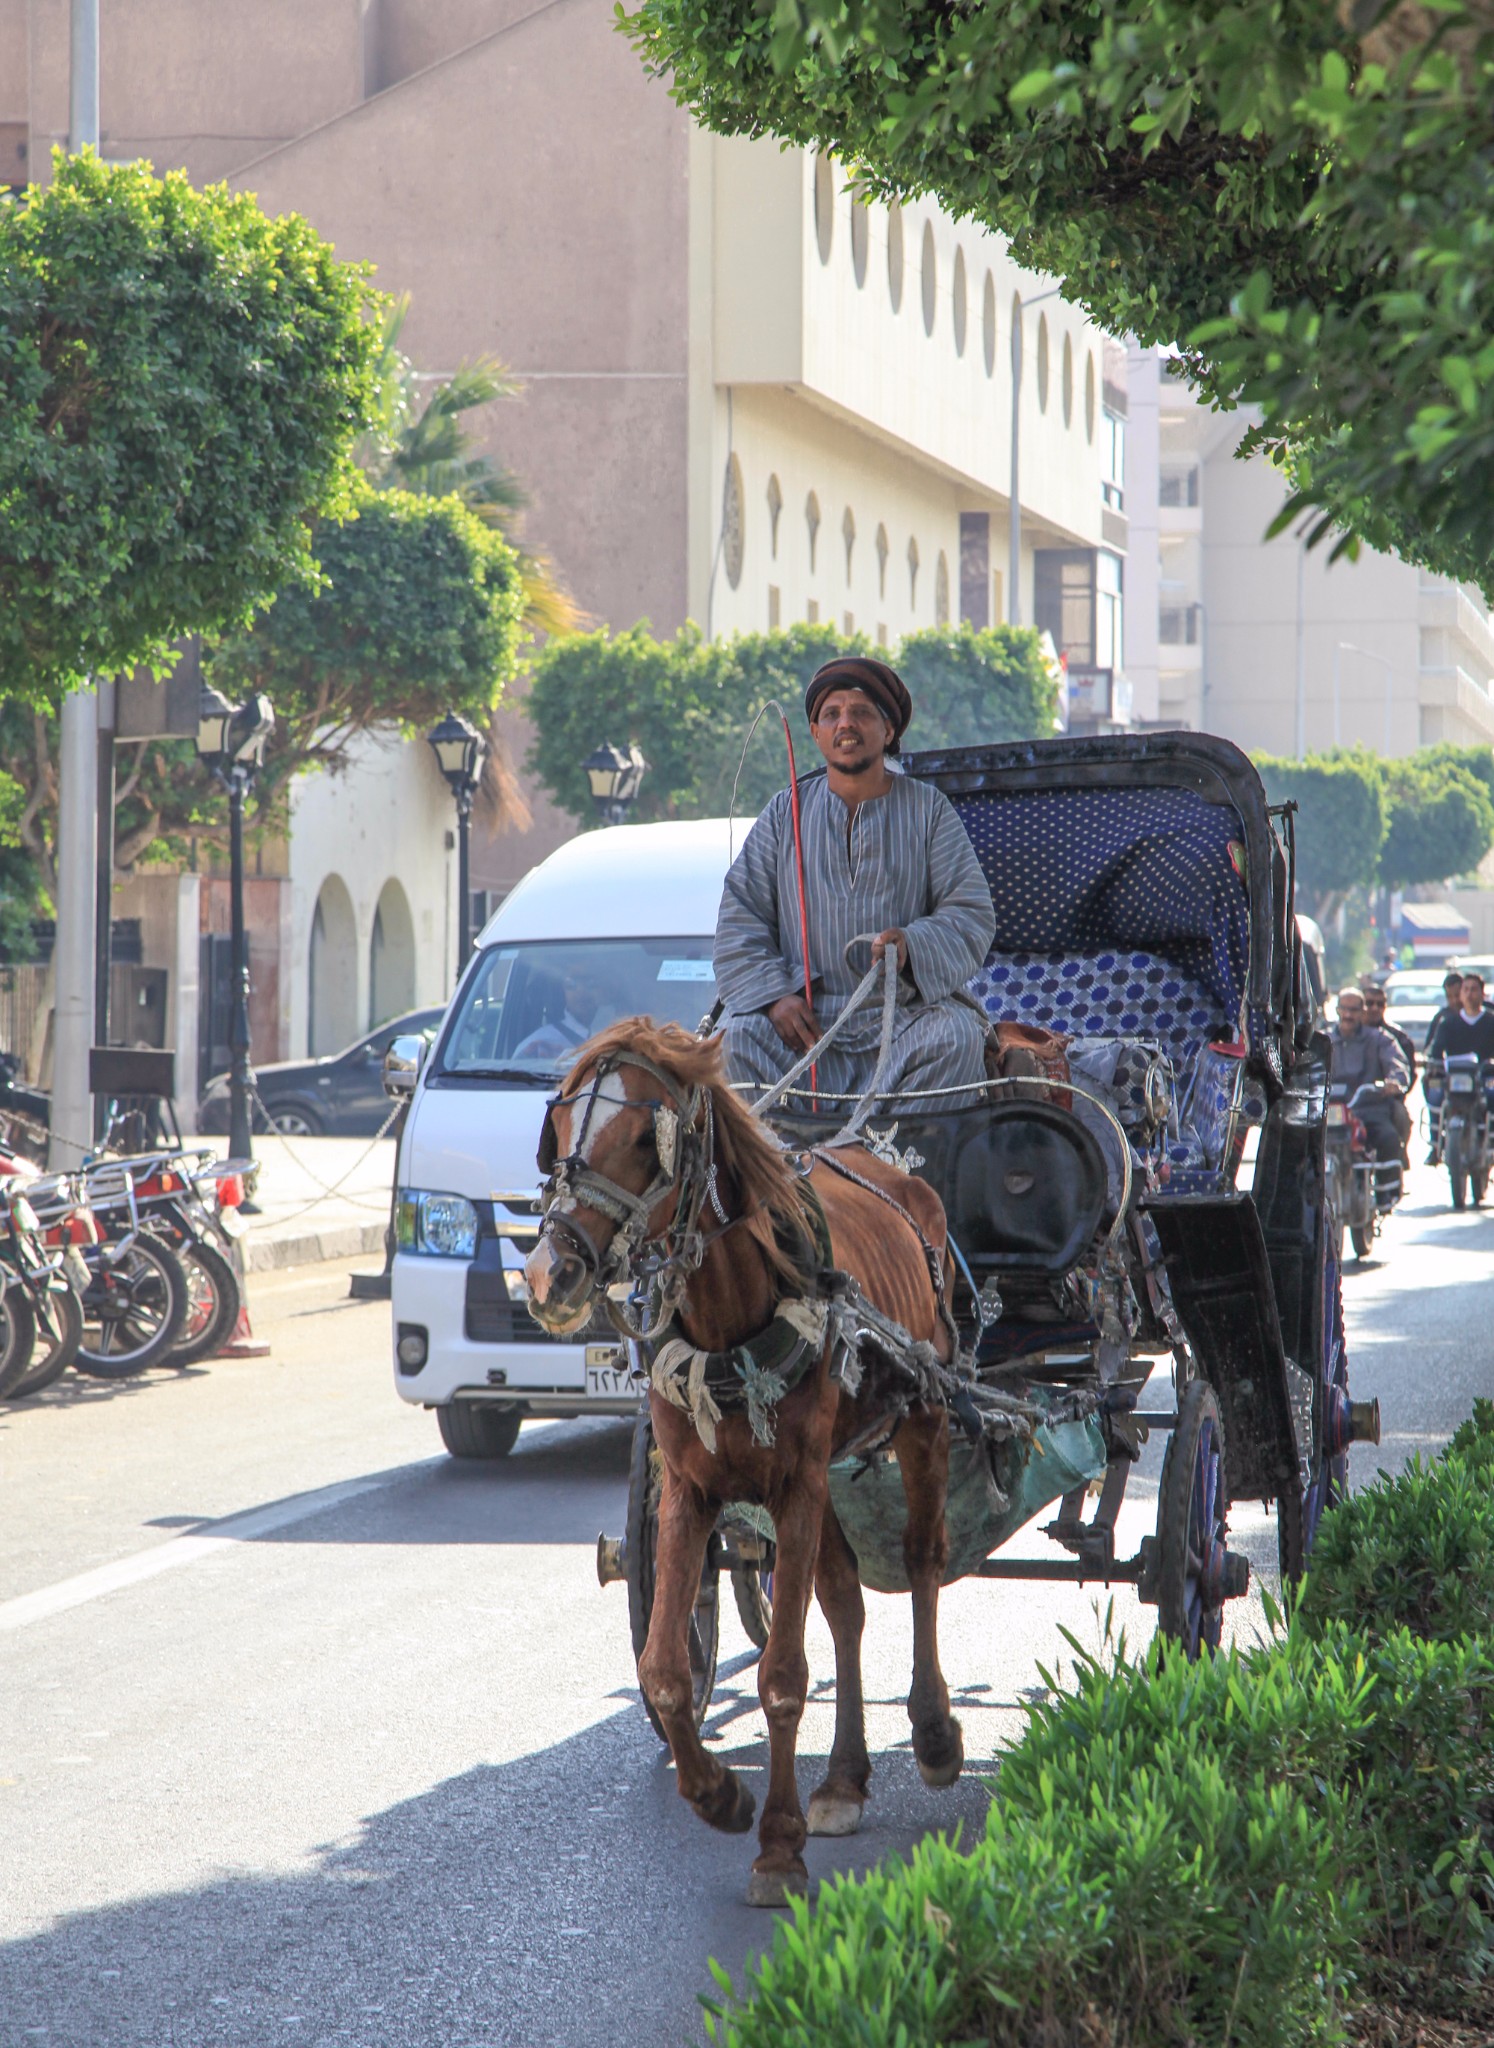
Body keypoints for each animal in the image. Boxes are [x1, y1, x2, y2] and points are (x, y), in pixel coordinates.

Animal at [524, 1019, 963, 1900]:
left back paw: (933, 1735)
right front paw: (720, 1796)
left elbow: (784, 1675)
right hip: (833, 1476)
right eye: (557, 1130)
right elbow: (664, 1669)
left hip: (920, 1419)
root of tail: (892, 1169)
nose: (551, 1275)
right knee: (845, 1604)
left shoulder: (795, 1486)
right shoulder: (688, 1491)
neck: (732, 1310)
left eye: (642, 1139)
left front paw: (779, 1848)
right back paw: (844, 1780)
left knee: (923, 1561)